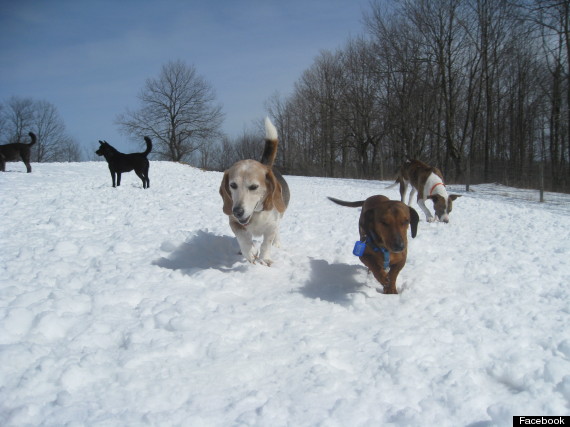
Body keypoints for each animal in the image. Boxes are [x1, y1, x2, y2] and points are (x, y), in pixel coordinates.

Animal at [217, 118, 288, 266]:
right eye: (233, 185)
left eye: (254, 187)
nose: (237, 211)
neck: (256, 214)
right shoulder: (234, 222)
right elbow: (242, 236)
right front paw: (250, 251)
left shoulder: (271, 226)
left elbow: (266, 243)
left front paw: (264, 258)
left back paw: (277, 243)